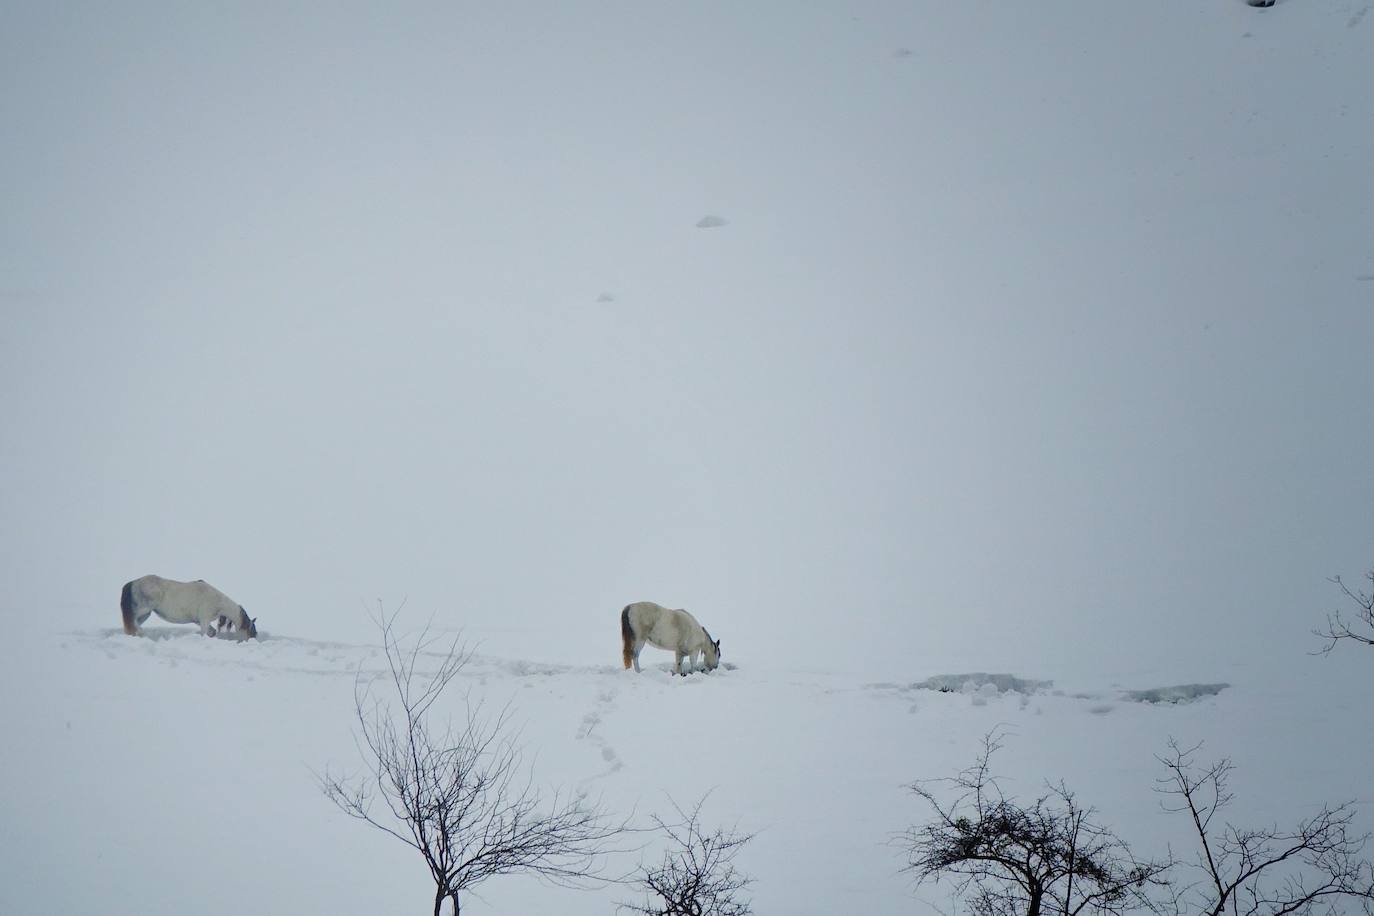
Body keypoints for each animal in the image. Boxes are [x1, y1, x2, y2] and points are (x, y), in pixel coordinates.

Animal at [120, 576, 258, 642]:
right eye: (251, 632)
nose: (250, 641)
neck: (217, 601)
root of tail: (134, 582)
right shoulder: (204, 620)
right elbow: (204, 633)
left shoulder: (199, 621)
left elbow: (212, 632)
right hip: (143, 610)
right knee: (132, 621)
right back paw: (141, 632)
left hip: (146, 614)